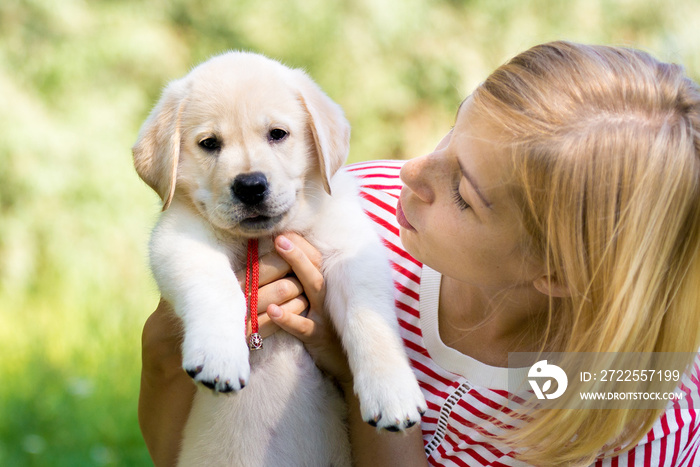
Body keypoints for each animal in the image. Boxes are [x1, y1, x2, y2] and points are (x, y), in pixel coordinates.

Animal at [132, 53, 426, 466]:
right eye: (209, 144)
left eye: (277, 134)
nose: (250, 186)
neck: (263, 238)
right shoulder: (181, 237)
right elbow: (217, 288)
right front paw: (220, 356)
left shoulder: (351, 248)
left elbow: (370, 318)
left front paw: (393, 394)